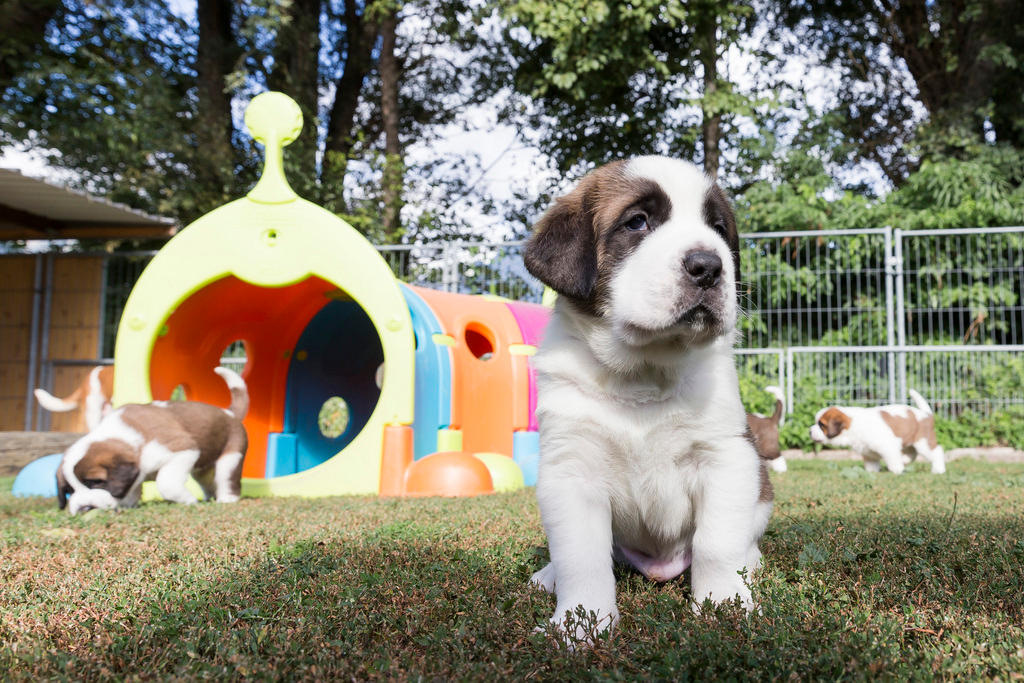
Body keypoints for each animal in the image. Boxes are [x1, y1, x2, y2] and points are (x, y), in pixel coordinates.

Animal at [56, 366, 249, 516]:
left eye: (95, 482)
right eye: (69, 491)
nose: (83, 507)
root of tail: (229, 413)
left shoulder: (183, 449)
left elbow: (166, 483)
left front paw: (189, 500)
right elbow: (133, 488)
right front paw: (128, 504)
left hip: (231, 457)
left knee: (226, 478)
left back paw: (227, 498)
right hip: (202, 469)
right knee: (207, 481)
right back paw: (210, 497)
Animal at [524, 154, 770, 643]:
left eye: (717, 227)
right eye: (637, 222)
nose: (708, 266)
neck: (644, 372)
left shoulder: (727, 459)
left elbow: (716, 543)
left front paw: (723, 607)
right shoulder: (570, 471)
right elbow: (581, 558)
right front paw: (577, 627)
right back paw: (547, 576)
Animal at [806, 389, 942, 475]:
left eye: (821, 425)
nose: (809, 431)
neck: (853, 425)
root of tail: (925, 414)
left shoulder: (888, 446)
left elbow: (893, 459)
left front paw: (897, 470)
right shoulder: (868, 452)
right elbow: (871, 463)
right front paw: (872, 472)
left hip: (923, 441)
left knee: (936, 452)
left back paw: (938, 470)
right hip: (910, 441)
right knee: (912, 453)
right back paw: (905, 459)